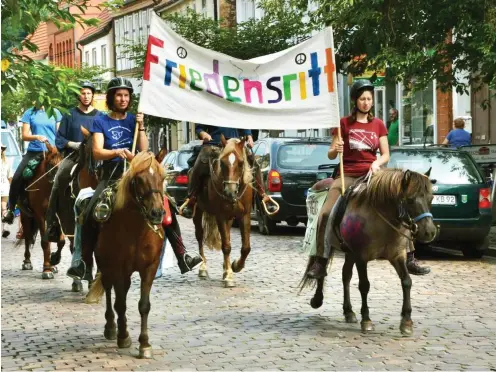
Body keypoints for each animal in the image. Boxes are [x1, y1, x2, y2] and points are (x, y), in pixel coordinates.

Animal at [18, 142, 65, 280]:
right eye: (50, 164)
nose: (57, 181)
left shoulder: (58, 216)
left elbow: (60, 240)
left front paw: (54, 260)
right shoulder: (40, 215)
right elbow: (45, 242)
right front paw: (47, 269)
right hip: (26, 216)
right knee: (27, 237)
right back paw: (27, 262)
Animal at [86, 150, 168, 358]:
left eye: (162, 177)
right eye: (139, 179)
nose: (157, 213)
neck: (135, 231)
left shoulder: (149, 268)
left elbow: (144, 305)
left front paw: (144, 344)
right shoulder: (117, 267)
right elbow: (120, 303)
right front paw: (123, 337)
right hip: (107, 267)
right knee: (109, 292)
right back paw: (111, 327)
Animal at [190, 136, 252, 288]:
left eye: (241, 163)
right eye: (222, 163)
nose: (230, 191)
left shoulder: (244, 215)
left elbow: (246, 247)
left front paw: (235, 266)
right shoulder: (221, 216)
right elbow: (226, 246)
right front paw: (229, 276)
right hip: (198, 211)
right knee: (199, 236)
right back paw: (203, 267)